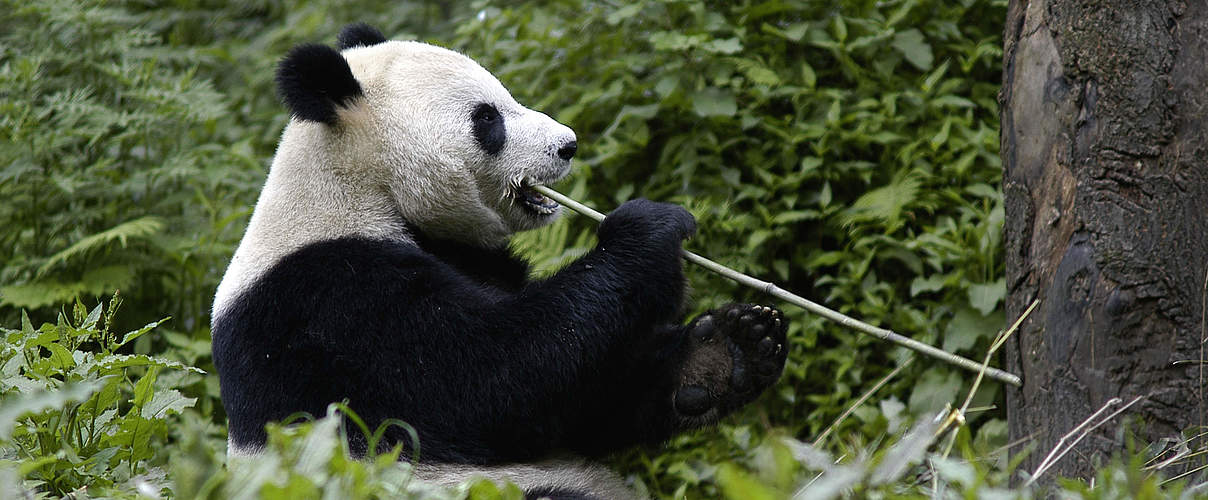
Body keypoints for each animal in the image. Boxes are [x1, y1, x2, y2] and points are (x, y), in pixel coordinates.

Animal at [211, 24, 787, 500]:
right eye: (486, 118)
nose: (568, 145)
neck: (360, 187)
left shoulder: (473, 257)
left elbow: (582, 401)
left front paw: (730, 347)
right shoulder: (328, 303)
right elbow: (487, 380)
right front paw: (650, 230)